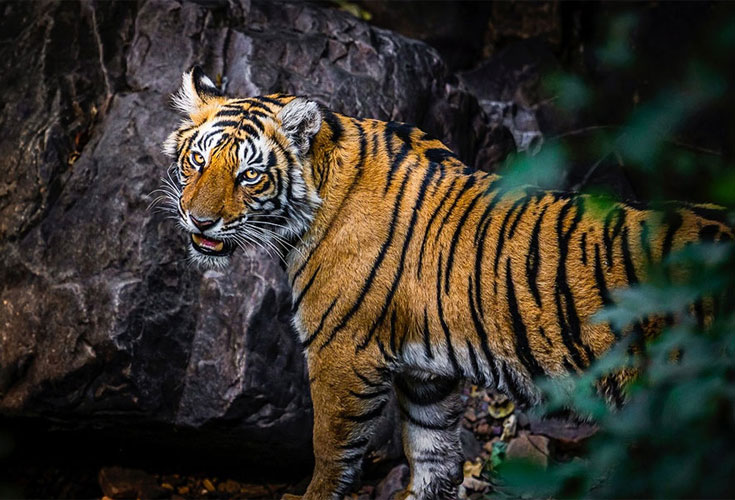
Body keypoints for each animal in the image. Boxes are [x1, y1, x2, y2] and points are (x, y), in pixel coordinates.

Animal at [160, 66, 733, 499]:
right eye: (197, 161)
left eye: (249, 175)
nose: (199, 221)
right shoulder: (426, 372)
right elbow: (434, 455)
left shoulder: (341, 355)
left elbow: (331, 452)